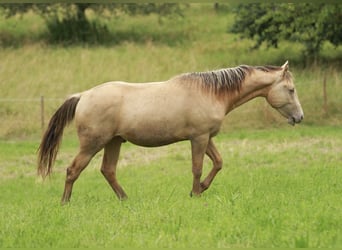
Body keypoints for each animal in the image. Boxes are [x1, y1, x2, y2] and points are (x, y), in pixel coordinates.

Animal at [38, 60, 304, 203]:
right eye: (291, 90)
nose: (299, 117)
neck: (212, 92)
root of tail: (82, 96)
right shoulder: (198, 138)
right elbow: (197, 168)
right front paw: (196, 193)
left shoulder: (206, 137)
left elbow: (218, 163)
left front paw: (201, 189)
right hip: (93, 144)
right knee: (73, 170)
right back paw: (65, 203)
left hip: (113, 142)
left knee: (108, 171)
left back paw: (125, 199)